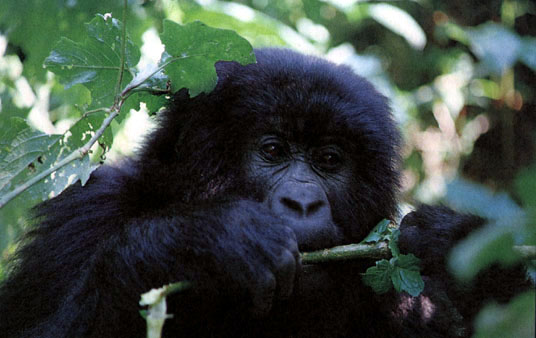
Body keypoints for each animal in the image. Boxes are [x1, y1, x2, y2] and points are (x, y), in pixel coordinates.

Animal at [0, 48, 528, 338]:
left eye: (329, 160)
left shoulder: (406, 293)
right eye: (272, 150)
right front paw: (198, 240)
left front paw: (464, 247)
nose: (303, 203)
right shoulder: (83, 215)